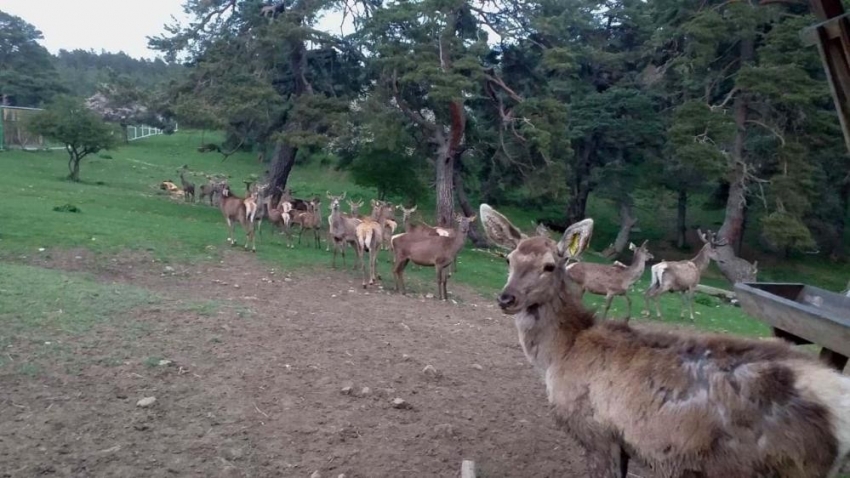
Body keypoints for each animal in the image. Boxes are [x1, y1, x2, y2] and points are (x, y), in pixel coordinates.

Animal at [476, 204, 848, 478]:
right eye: (509, 259)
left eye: (550, 265)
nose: (506, 298)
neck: (560, 355)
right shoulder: (623, 441)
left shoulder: (596, 432)